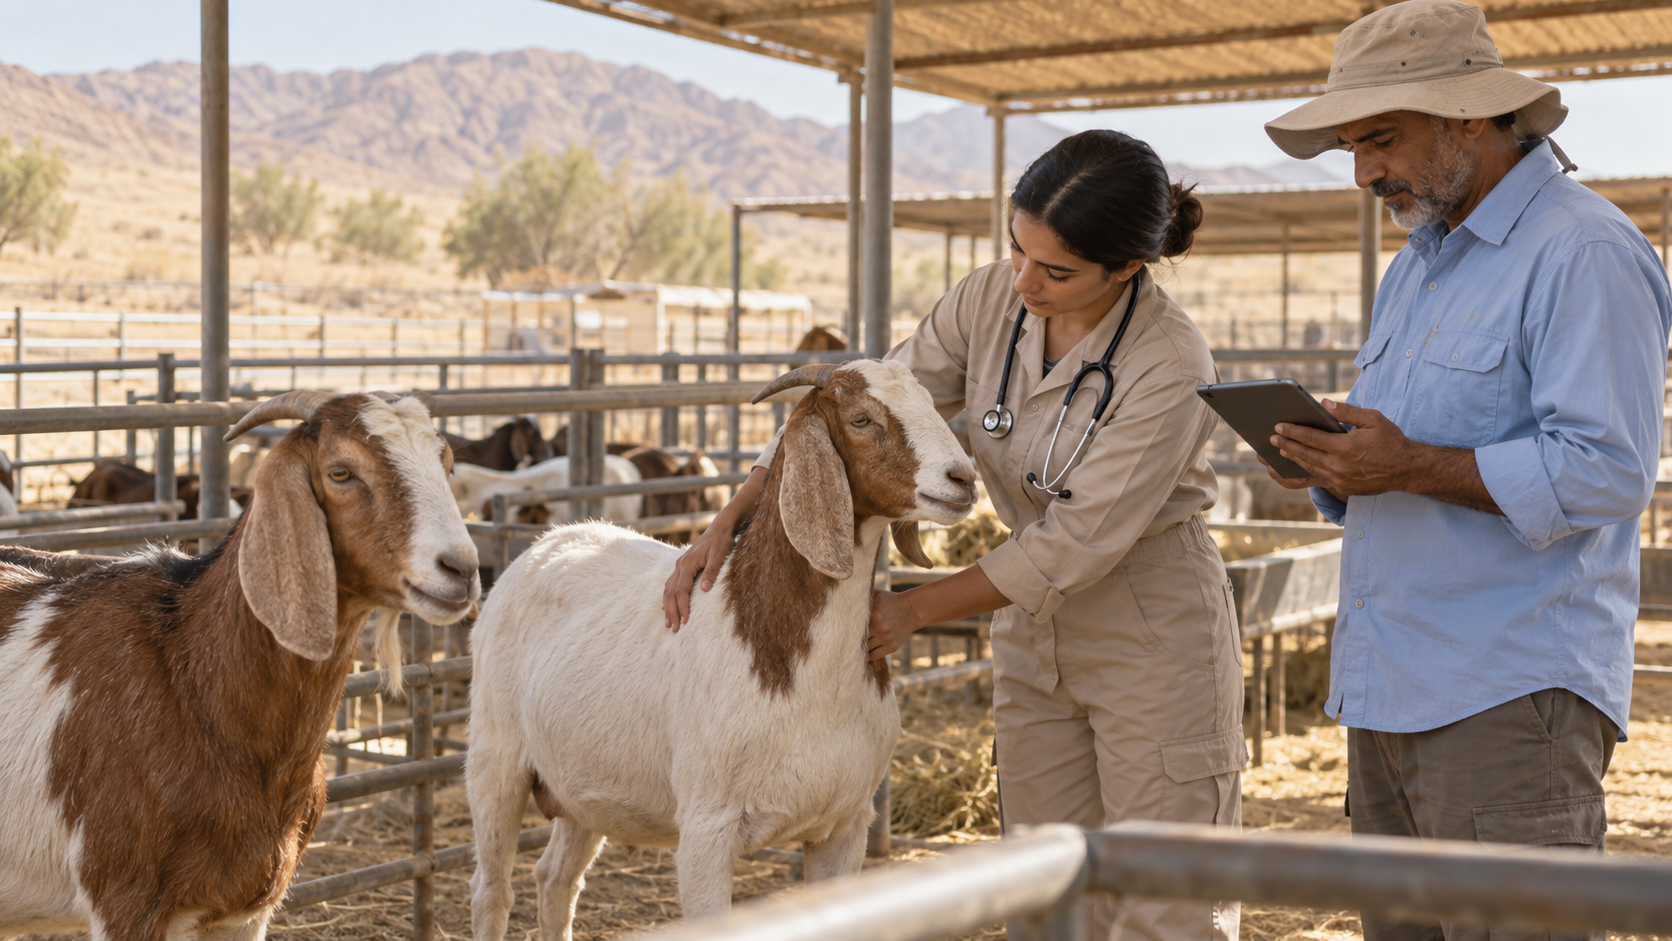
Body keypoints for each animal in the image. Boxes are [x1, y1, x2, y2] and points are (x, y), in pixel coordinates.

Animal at [0, 390, 479, 941]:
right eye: (340, 472)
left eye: (447, 465)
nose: (462, 568)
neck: (192, 682)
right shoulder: (124, 899)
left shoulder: (246, 908)